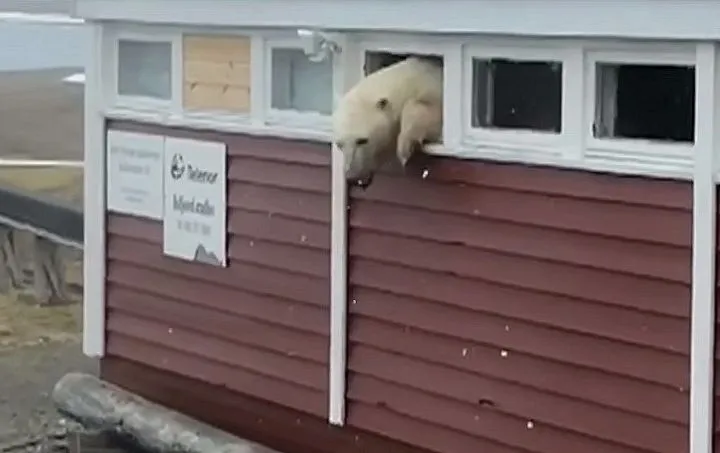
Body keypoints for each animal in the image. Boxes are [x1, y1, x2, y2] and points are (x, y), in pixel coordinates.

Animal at [332, 56, 443, 189]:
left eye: (362, 140)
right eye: (339, 144)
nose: (352, 177)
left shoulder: (433, 87)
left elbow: (432, 110)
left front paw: (405, 147)